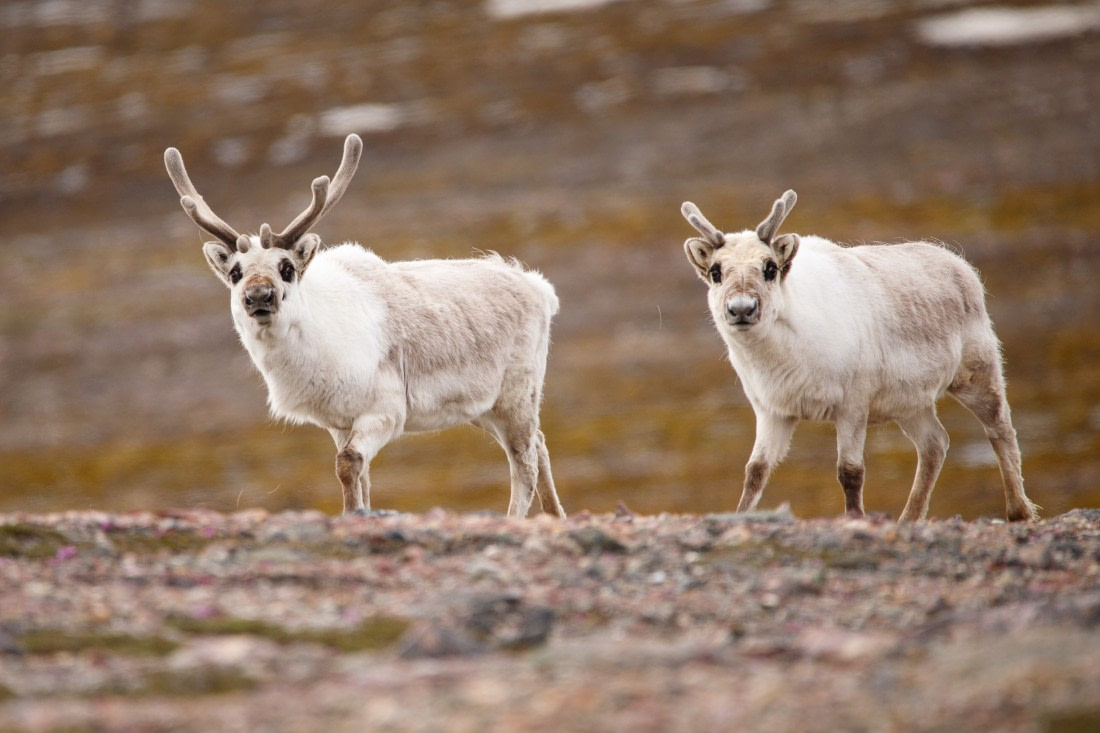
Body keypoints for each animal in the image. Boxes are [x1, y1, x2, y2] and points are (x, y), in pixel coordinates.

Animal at [164, 134, 565, 518]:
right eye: (235, 272)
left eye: (286, 267)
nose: (259, 296)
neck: (314, 346)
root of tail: (540, 289)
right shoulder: (339, 422)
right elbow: (361, 477)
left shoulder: (385, 411)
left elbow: (348, 464)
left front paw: (351, 514)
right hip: (486, 409)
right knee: (542, 444)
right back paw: (555, 516)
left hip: (516, 396)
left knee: (525, 463)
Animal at [681, 190, 1038, 522]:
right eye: (715, 271)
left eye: (769, 268)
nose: (742, 309)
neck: (780, 356)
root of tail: (961, 266)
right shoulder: (772, 410)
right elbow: (755, 472)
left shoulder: (853, 403)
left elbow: (850, 473)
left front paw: (855, 518)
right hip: (910, 401)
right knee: (935, 443)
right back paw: (909, 518)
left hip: (977, 369)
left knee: (1000, 428)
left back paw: (1019, 512)